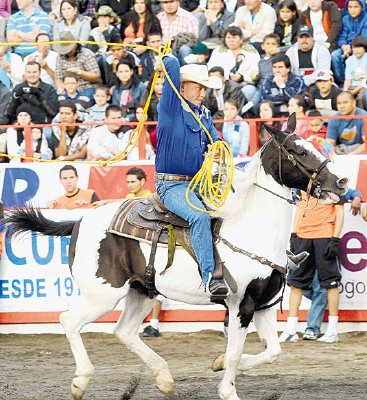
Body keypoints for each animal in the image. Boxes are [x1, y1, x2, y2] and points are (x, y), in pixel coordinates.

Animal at [5, 114, 348, 398]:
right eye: (298, 151)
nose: (341, 181)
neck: (251, 227)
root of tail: (80, 221)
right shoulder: (241, 304)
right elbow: (236, 352)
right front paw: (228, 388)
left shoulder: (263, 305)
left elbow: (272, 352)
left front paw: (218, 363)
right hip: (102, 293)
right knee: (69, 320)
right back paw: (81, 381)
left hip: (141, 291)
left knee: (123, 331)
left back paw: (164, 378)